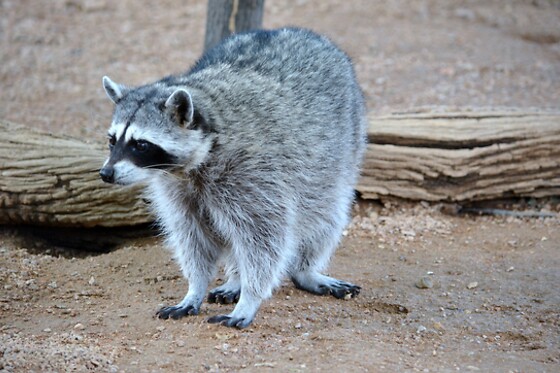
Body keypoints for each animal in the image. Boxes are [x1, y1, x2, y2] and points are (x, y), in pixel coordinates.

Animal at [100, 27, 368, 326]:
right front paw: (195, 288)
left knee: (325, 212)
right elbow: (192, 237)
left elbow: (264, 238)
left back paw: (304, 269)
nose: (106, 173)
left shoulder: (253, 174)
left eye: (141, 145)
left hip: (342, 147)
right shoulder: (177, 189)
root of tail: (302, 32)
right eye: (113, 140)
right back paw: (236, 278)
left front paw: (250, 297)